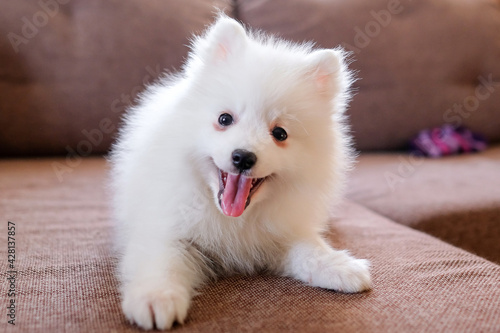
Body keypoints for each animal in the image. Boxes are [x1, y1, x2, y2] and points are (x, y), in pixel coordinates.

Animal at [110, 14, 372, 330]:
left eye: (280, 134)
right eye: (225, 119)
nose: (243, 157)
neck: (234, 220)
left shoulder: (281, 233)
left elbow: (309, 249)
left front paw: (339, 266)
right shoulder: (166, 228)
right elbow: (163, 262)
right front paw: (155, 299)